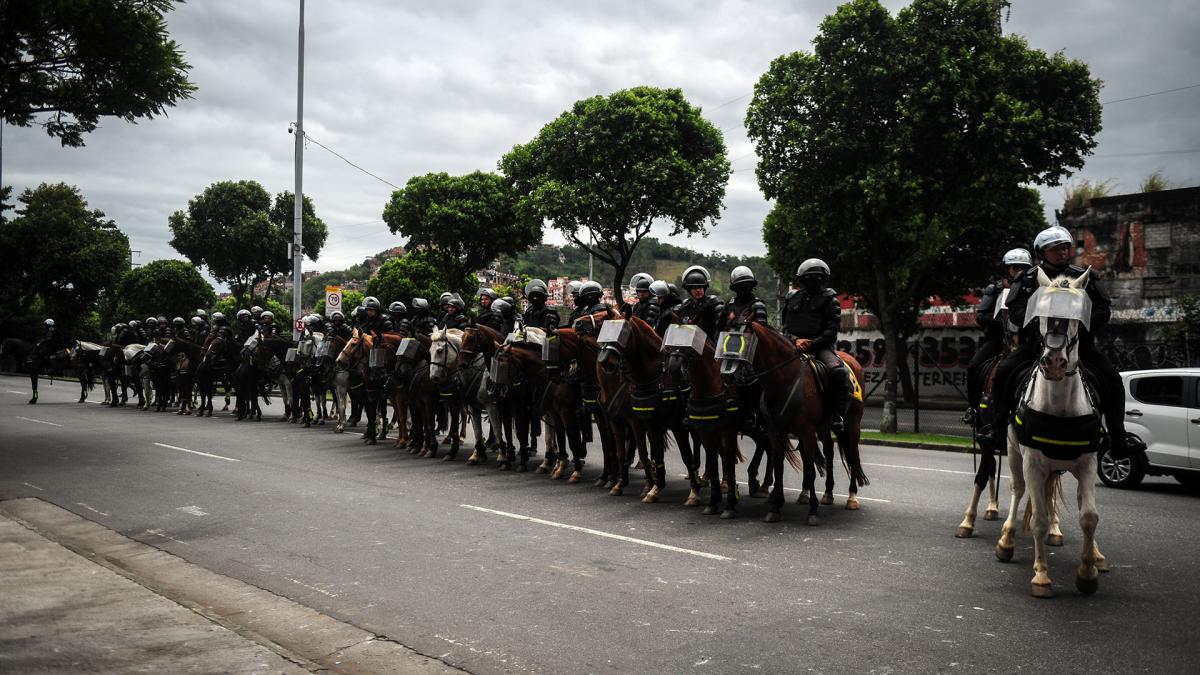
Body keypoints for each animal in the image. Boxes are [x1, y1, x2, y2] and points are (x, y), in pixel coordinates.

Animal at [998, 266, 1108, 593]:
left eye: (1076, 317)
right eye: (1042, 315)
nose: (1055, 363)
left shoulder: (1088, 463)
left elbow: (1089, 516)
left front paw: (1087, 572)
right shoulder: (1033, 463)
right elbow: (1038, 520)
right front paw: (1041, 574)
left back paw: (1096, 554)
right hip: (1014, 454)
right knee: (1019, 490)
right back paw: (1006, 540)